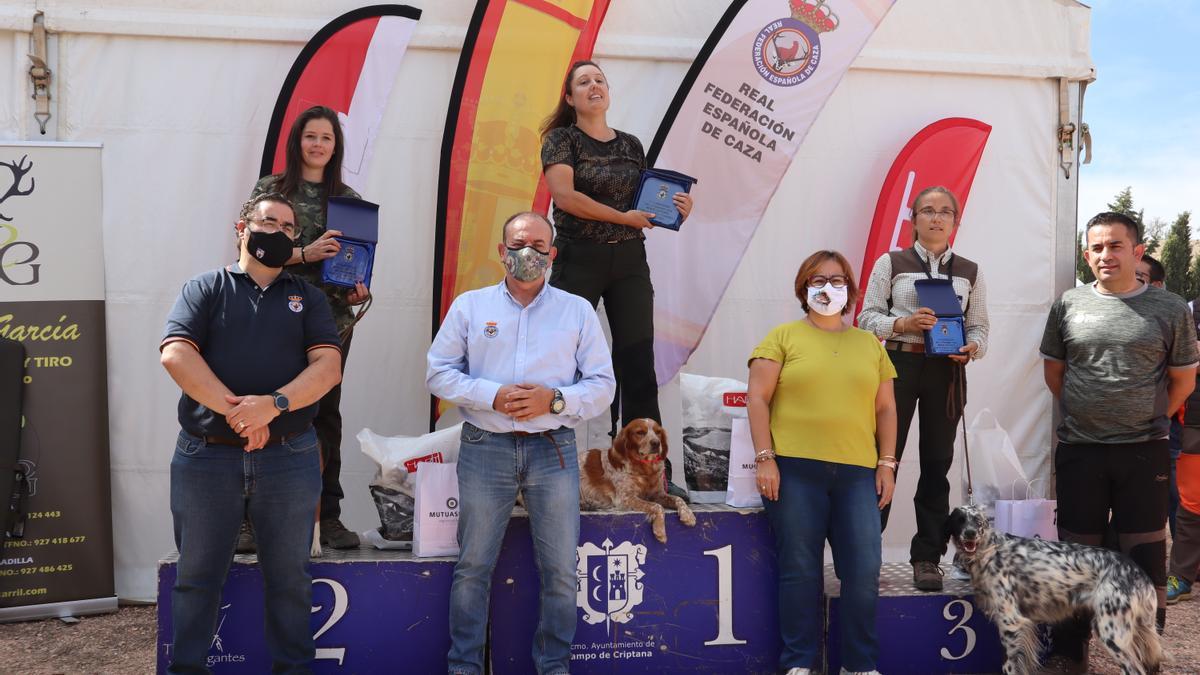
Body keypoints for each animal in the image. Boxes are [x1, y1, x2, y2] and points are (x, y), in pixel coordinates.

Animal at [940, 502, 1156, 667]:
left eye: (977, 521)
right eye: (960, 520)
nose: (970, 533)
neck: (989, 550)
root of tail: (1138, 572)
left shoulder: (1011, 622)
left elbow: (1009, 665)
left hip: (1112, 633)